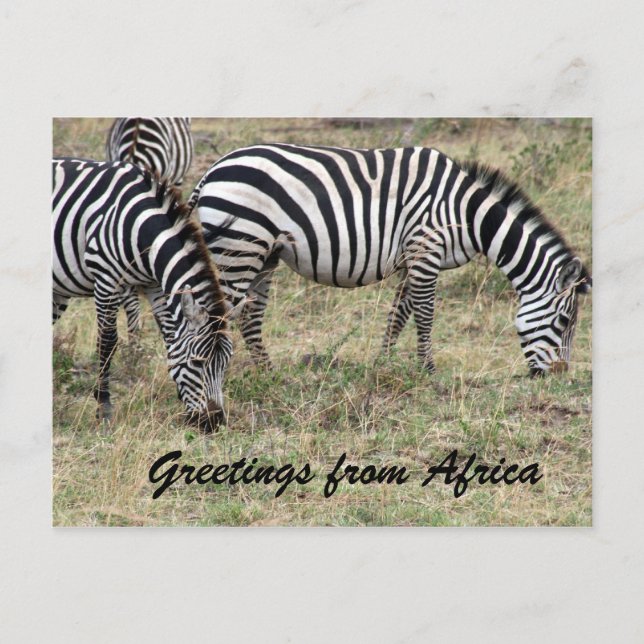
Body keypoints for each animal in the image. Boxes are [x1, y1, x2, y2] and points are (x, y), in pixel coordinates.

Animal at [53, 157, 233, 431]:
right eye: (197, 363)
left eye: (225, 364)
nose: (214, 423)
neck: (142, 232)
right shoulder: (106, 280)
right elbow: (107, 342)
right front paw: (103, 406)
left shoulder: (155, 286)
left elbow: (169, 337)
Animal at [189, 143, 591, 376]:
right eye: (564, 321)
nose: (558, 376)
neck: (467, 214)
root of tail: (212, 170)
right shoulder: (426, 248)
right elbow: (425, 314)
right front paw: (428, 370)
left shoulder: (412, 256)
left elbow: (399, 314)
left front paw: (382, 363)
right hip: (241, 247)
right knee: (215, 314)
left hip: (264, 252)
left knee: (250, 315)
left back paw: (267, 372)